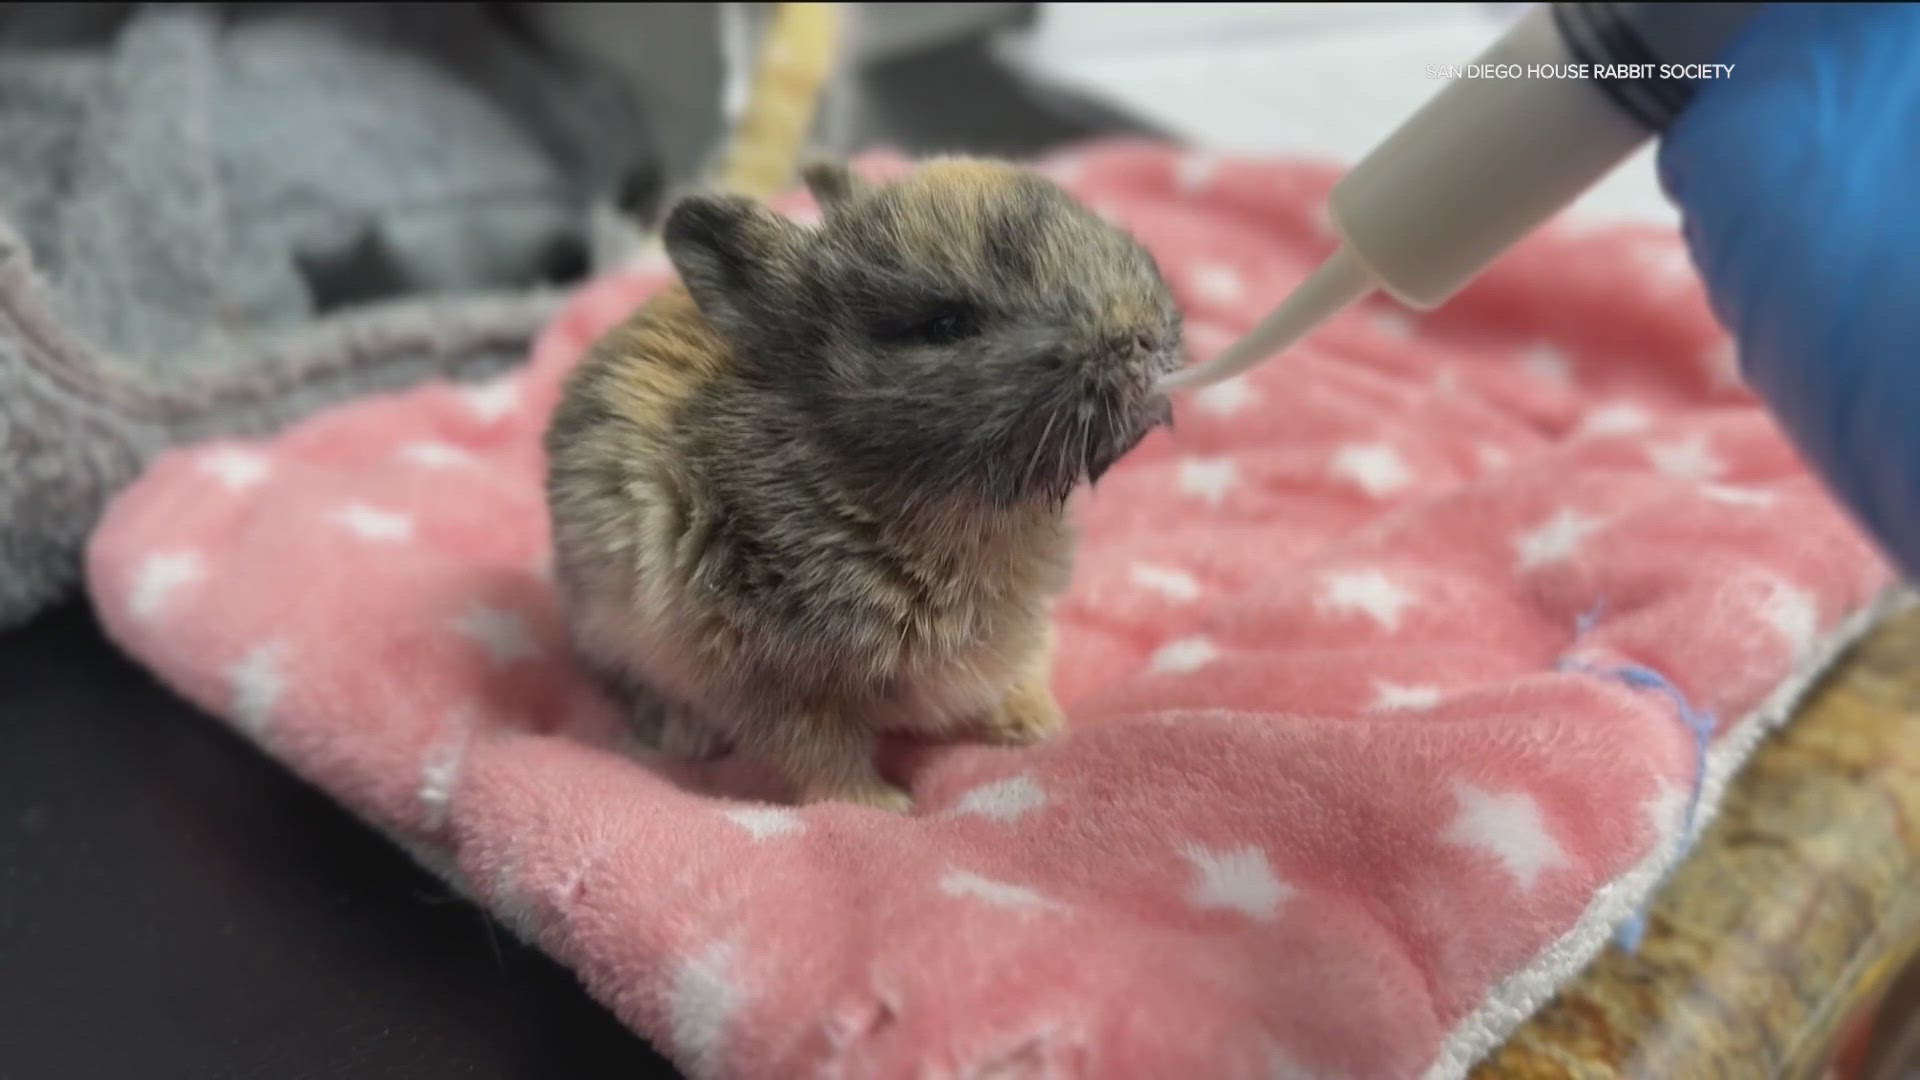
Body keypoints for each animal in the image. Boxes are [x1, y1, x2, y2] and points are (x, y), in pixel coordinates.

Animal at [543, 156, 1182, 813]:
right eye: (946, 324)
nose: (1140, 338)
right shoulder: (781, 680)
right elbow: (821, 753)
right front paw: (882, 807)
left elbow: (1019, 673)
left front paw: (1037, 726)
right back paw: (683, 734)